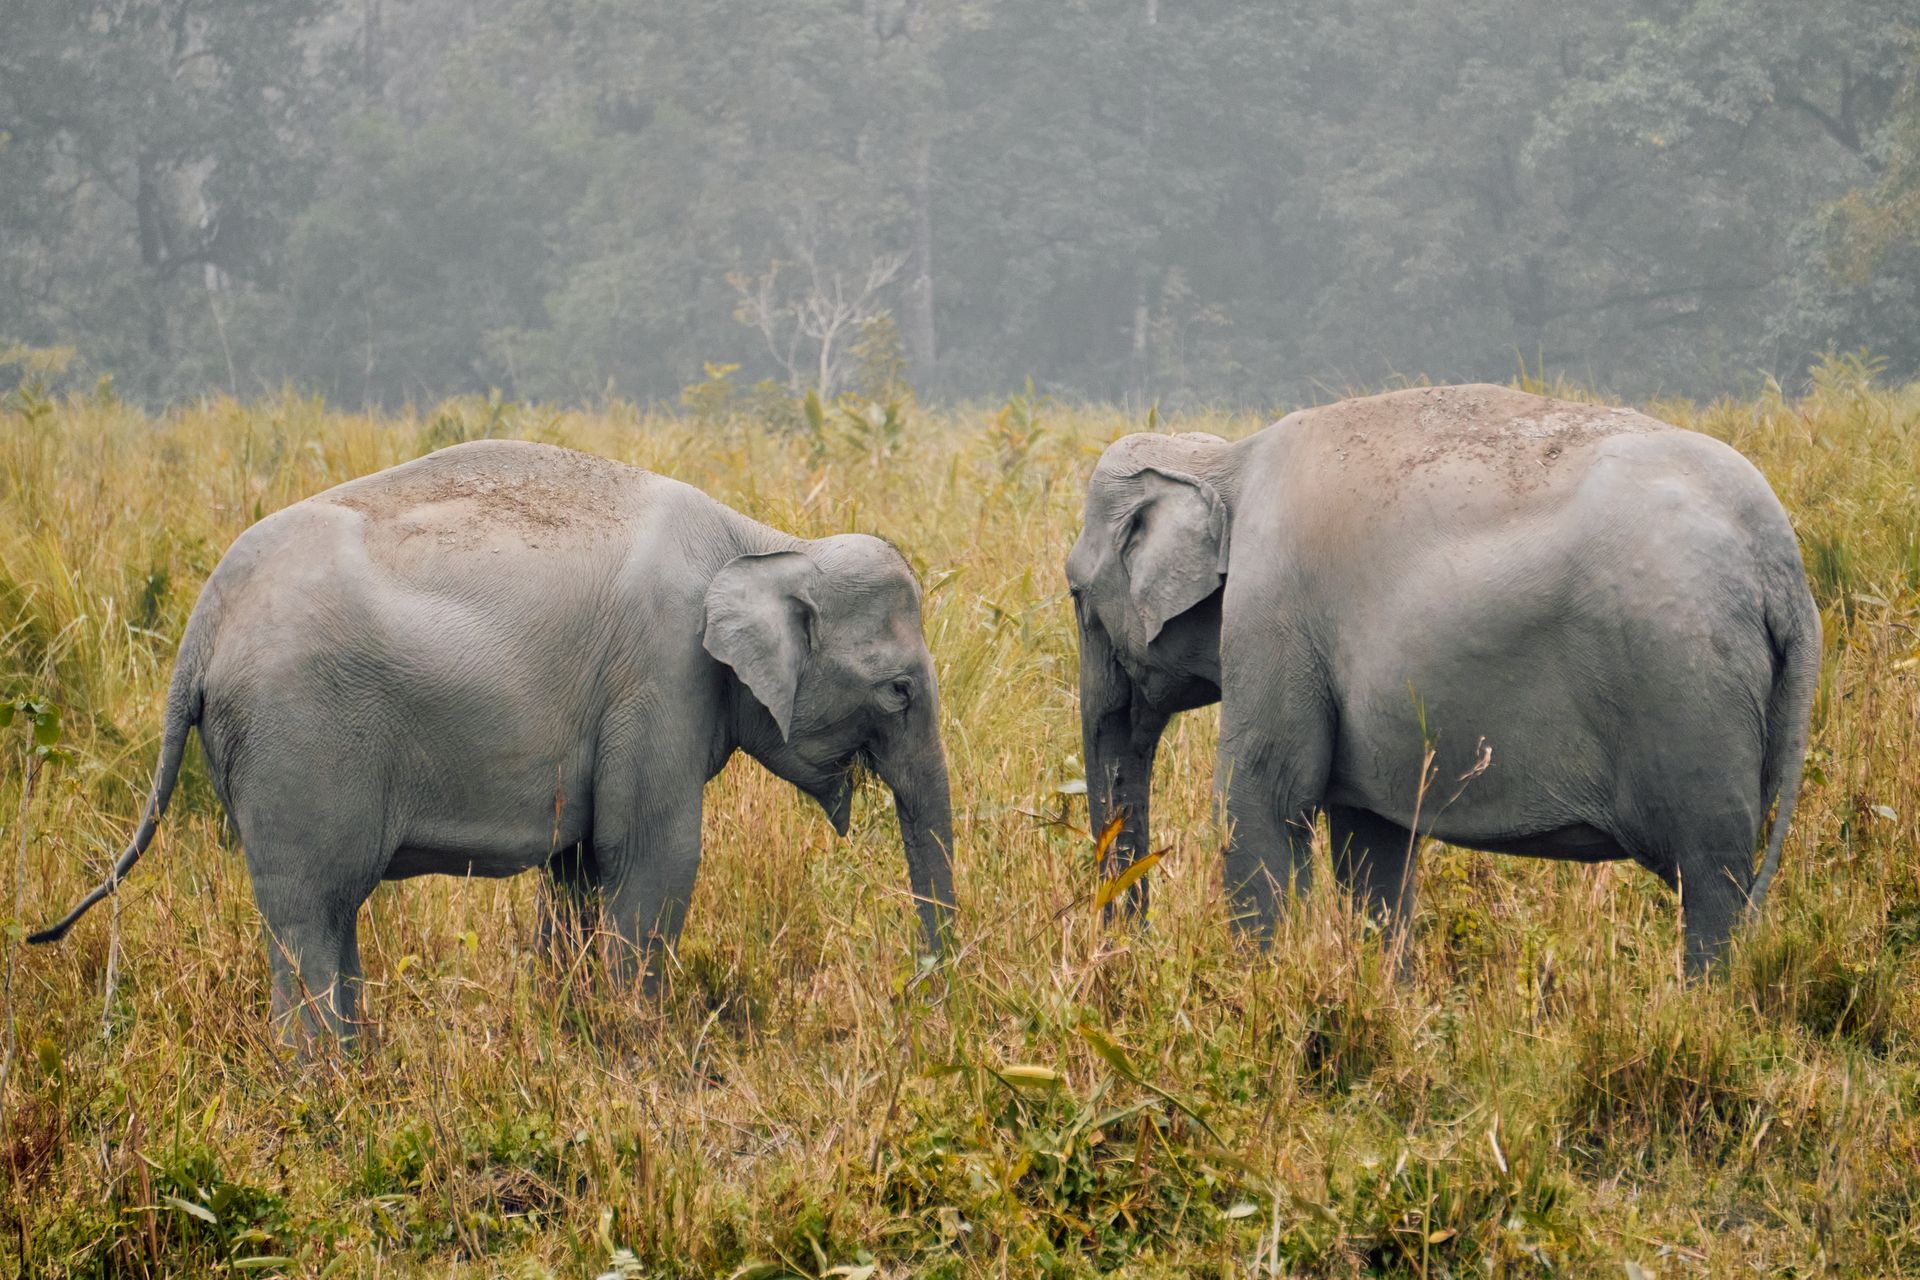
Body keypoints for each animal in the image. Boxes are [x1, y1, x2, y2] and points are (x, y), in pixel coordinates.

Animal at [32, 439, 955, 1039]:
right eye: (899, 690)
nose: (920, 994)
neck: (763, 540)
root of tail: (204, 619)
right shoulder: (660, 677)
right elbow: (653, 859)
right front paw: (639, 1051)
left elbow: (579, 868)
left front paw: (575, 1032)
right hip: (299, 736)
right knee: (308, 913)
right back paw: (322, 1094)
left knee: (326, 914)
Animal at [1065, 384, 1820, 971]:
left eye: (1074, 592)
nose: (1125, 961)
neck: (1225, 459)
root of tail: (1781, 563)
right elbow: (1372, 843)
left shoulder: (1272, 612)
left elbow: (1264, 799)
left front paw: (1258, 990)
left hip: (1688, 695)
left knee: (1711, 878)